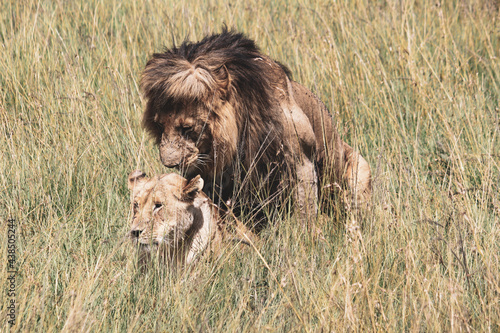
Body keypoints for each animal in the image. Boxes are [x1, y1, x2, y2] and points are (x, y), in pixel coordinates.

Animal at [141, 27, 372, 220]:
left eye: (187, 128)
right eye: (159, 126)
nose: (170, 164)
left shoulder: (301, 159)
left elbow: (305, 211)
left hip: (358, 171)